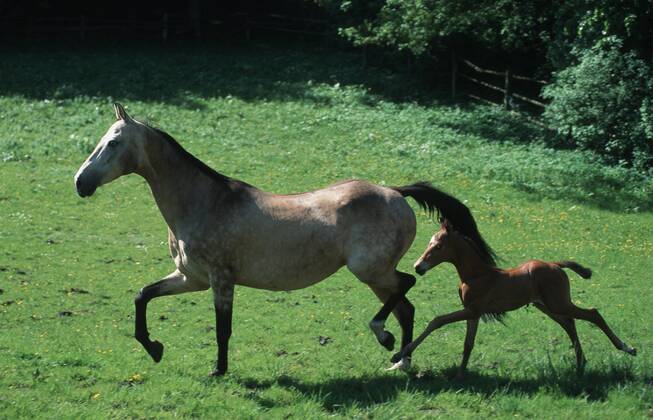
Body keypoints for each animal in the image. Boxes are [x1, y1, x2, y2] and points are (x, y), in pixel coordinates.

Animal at [73, 104, 493, 376]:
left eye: (113, 143)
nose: (80, 183)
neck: (204, 202)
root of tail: (395, 191)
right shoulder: (191, 278)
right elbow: (142, 296)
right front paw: (155, 349)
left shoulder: (220, 281)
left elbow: (223, 328)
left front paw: (218, 371)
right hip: (375, 275)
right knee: (406, 308)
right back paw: (399, 358)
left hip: (370, 270)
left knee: (406, 285)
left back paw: (384, 336)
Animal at [391, 219, 637, 378]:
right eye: (429, 242)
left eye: (439, 246)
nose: (418, 267)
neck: (476, 274)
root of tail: (556, 265)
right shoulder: (474, 313)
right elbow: (468, 343)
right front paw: (461, 373)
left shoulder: (472, 310)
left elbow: (437, 321)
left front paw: (399, 355)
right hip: (547, 306)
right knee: (570, 323)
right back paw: (581, 364)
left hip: (557, 303)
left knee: (592, 314)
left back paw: (626, 348)